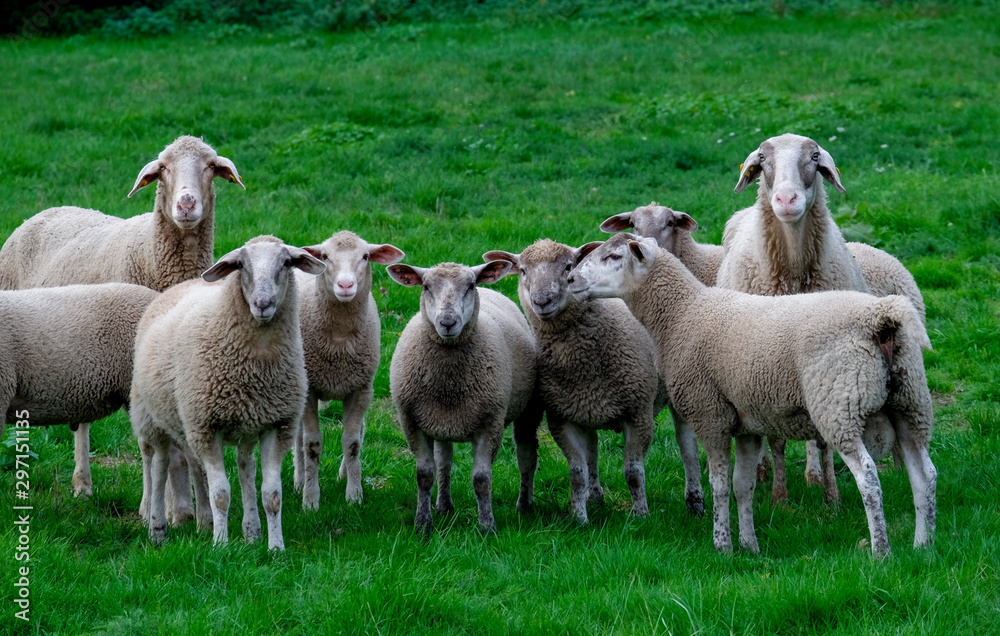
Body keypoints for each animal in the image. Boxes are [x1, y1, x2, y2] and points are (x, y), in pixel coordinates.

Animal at [130, 235, 325, 550]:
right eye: (241, 265)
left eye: (286, 263)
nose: (262, 304)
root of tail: (183, 284)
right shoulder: (207, 427)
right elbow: (220, 493)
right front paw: (220, 545)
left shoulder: (277, 425)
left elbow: (272, 495)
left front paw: (276, 547)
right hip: (152, 418)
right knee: (158, 467)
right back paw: (157, 529)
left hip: (233, 424)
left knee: (242, 466)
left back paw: (246, 530)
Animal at [291, 231, 405, 508]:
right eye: (324, 256)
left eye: (365, 256)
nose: (345, 285)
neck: (339, 342)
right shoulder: (310, 390)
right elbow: (311, 444)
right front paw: (310, 500)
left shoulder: (360, 389)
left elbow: (352, 442)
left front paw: (354, 495)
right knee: (298, 438)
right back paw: (299, 480)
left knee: (359, 431)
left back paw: (344, 473)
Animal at [387, 260, 542, 536]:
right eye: (425, 287)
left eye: (470, 286)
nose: (448, 322)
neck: (449, 382)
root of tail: (492, 290)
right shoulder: (412, 422)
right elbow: (425, 475)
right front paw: (423, 525)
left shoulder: (491, 424)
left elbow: (482, 479)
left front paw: (487, 527)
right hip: (438, 420)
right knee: (444, 461)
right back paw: (444, 506)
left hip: (528, 409)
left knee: (526, 457)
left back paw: (524, 506)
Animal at [484, 239, 682, 522]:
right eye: (522, 270)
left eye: (568, 266)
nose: (542, 301)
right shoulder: (563, 419)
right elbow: (577, 473)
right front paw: (579, 518)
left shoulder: (639, 415)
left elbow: (634, 472)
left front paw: (641, 515)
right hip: (586, 410)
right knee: (592, 450)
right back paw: (594, 497)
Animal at [568, 233, 937, 555]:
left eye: (614, 257)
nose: (570, 279)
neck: (682, 315)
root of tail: (880, 317)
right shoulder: (746, 426)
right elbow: (742, 486)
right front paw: (749, 546)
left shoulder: (710, 415)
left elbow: (719, 486)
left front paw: (722, 545)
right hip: (910, 402)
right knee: (925, 475)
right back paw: (923, 546)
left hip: (840, 405)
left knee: (869, 478)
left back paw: (881, 551)